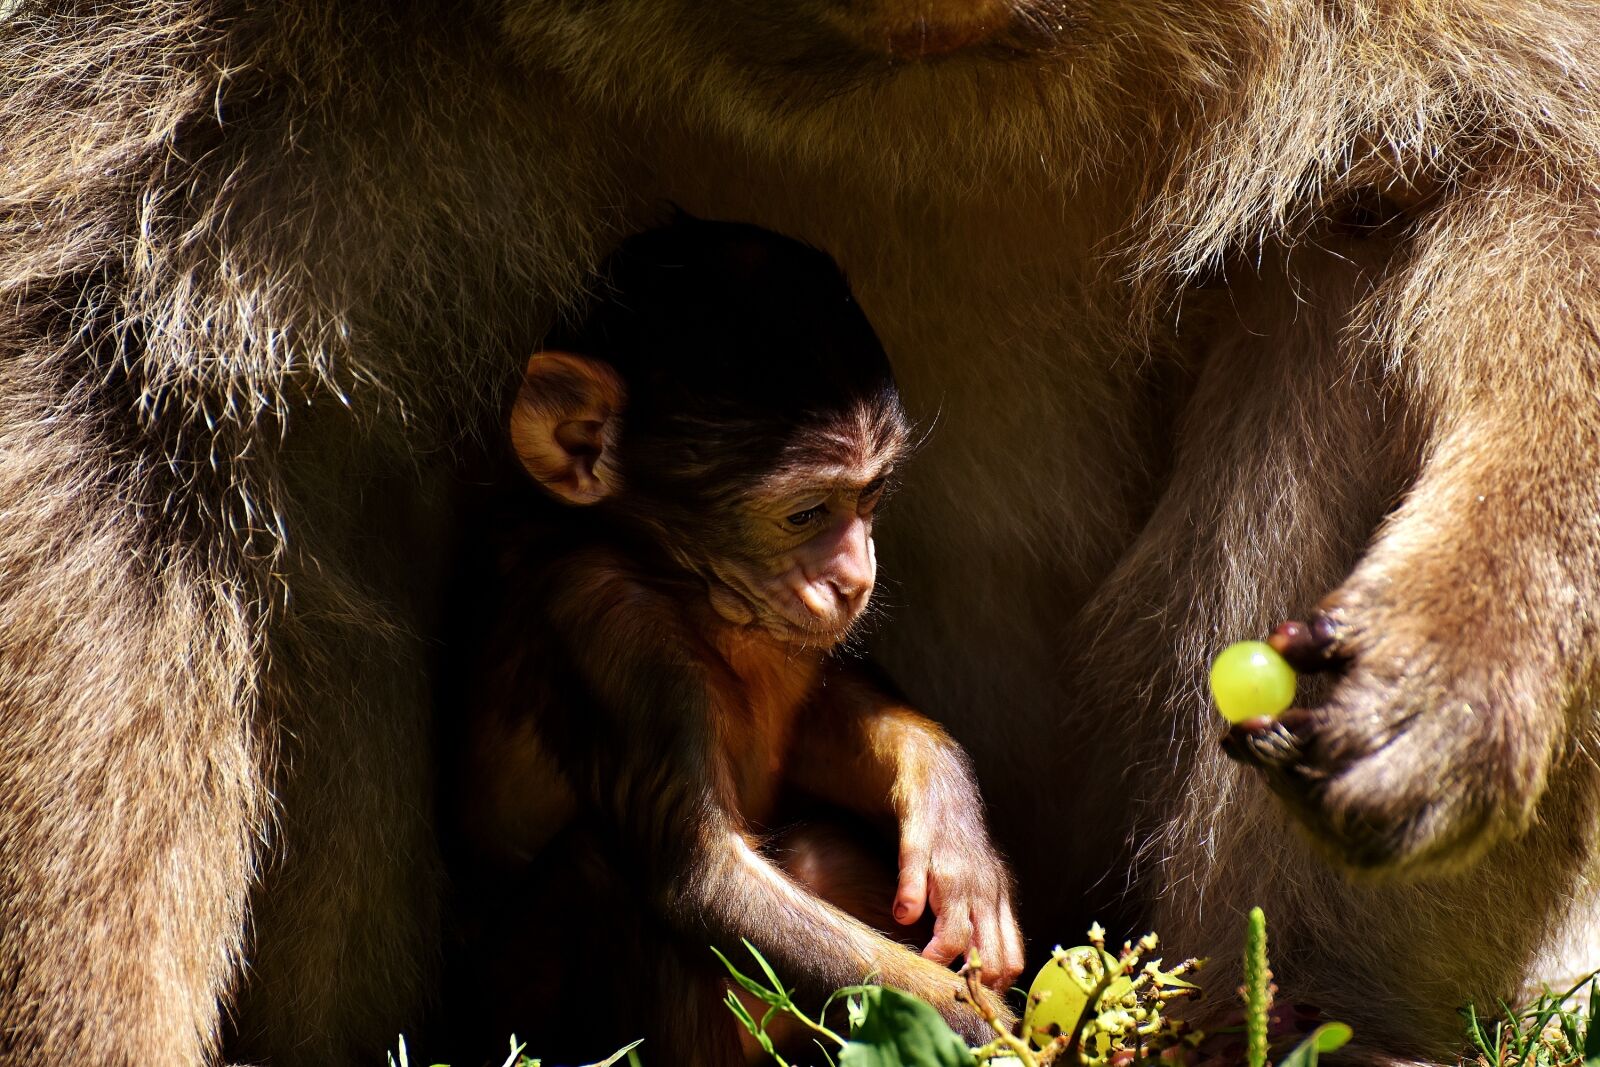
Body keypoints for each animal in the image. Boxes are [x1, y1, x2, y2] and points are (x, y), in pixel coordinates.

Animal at [441, 217, 1022, 1063]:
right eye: (807, 513)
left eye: (870, 495)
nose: (855, 577)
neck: (669, 573)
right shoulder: (608, 623)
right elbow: (706, 880)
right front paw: (988, 1030)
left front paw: (952, 828)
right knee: (599, 866)